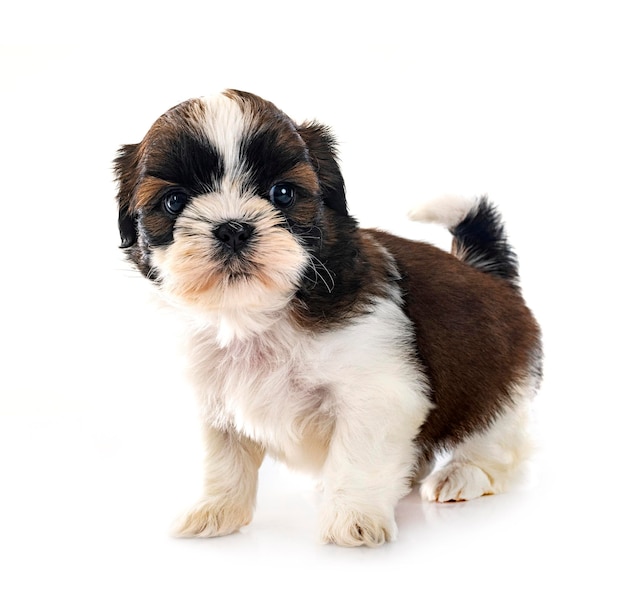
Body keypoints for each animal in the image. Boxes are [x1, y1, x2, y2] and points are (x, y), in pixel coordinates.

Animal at [114, 89, 540, 552]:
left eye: (282, 193)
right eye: (174, 201)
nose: (232, 228)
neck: (259, 315)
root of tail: (486, 271)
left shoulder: (377, 393)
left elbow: (358, 455)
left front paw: (353, 519)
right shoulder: (214, 397)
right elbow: (222, 458)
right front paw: (216, 511)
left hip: (494, 379)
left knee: (496, 437)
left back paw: (464, 473)